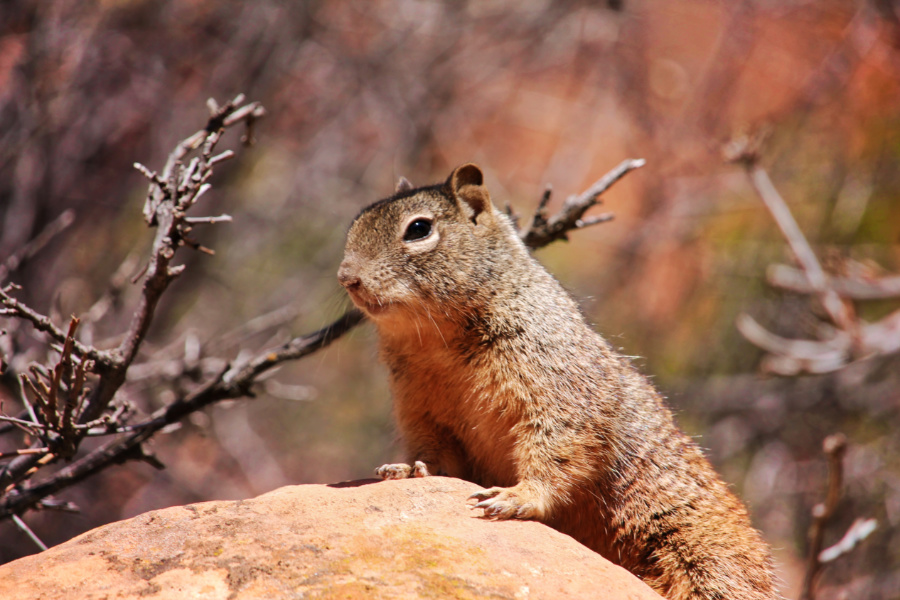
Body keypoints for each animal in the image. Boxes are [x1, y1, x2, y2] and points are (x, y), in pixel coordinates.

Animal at [342, 164, 776, 600]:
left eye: (419, 229)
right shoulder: (421, 411)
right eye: (355, 223)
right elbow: (436, 454)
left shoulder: (559, 392)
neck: (436, 341)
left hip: (703, 552)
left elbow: (556, 450)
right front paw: (408, 468)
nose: (347, 278)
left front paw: (516, 498)